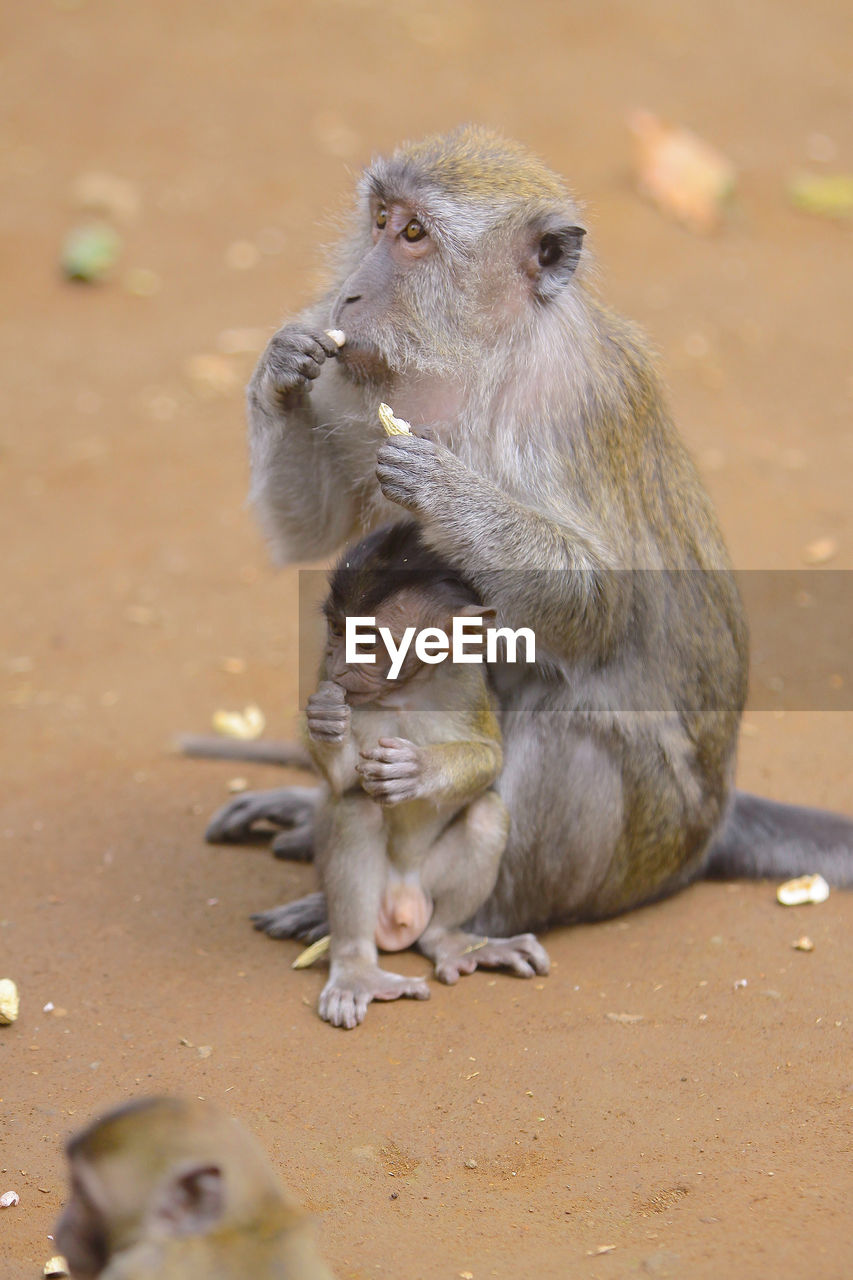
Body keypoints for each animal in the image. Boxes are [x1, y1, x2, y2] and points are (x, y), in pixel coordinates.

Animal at [207, 127, 850, 931]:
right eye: (381, 218)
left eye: (414, 236)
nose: (348, 292)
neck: (487, 359)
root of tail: (711, 829)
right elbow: (315, 530)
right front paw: (279, 368)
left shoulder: (570, 413)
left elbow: (600, 602)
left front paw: (447, 491)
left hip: (639, 845)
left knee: (567, 724)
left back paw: (462, 921)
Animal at [251, 522, 545, 1029]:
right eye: (336, 630)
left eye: (368, 639)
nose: (338, 660)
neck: (406, 689)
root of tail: (403, 904)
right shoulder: (323, 677)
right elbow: (340, 784)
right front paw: (325, 720)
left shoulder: (466, 682)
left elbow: (492, 756)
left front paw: (419, 770)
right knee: (357, 811)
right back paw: (356, 969)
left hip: (429, 885)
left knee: (486, 815)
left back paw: (453, 941)